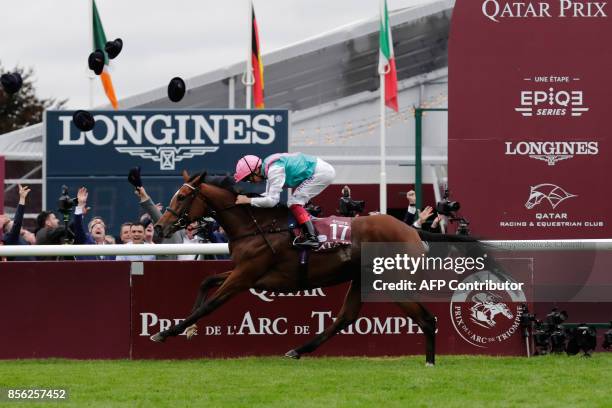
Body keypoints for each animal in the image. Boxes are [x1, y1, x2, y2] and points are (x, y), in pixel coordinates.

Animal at [152, 171, 492, 364]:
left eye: (182, 196)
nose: (158, 227)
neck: (257, 225)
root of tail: (413, 231)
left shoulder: (246, 274)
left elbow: (210, 304)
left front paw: (168, 331)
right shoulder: (246, 272)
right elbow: (206, 281)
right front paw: (186, 330)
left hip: (392, 282)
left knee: (426, 319)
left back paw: (430, 363)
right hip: (362, 279)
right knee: (345, 317)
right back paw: (299, 350)